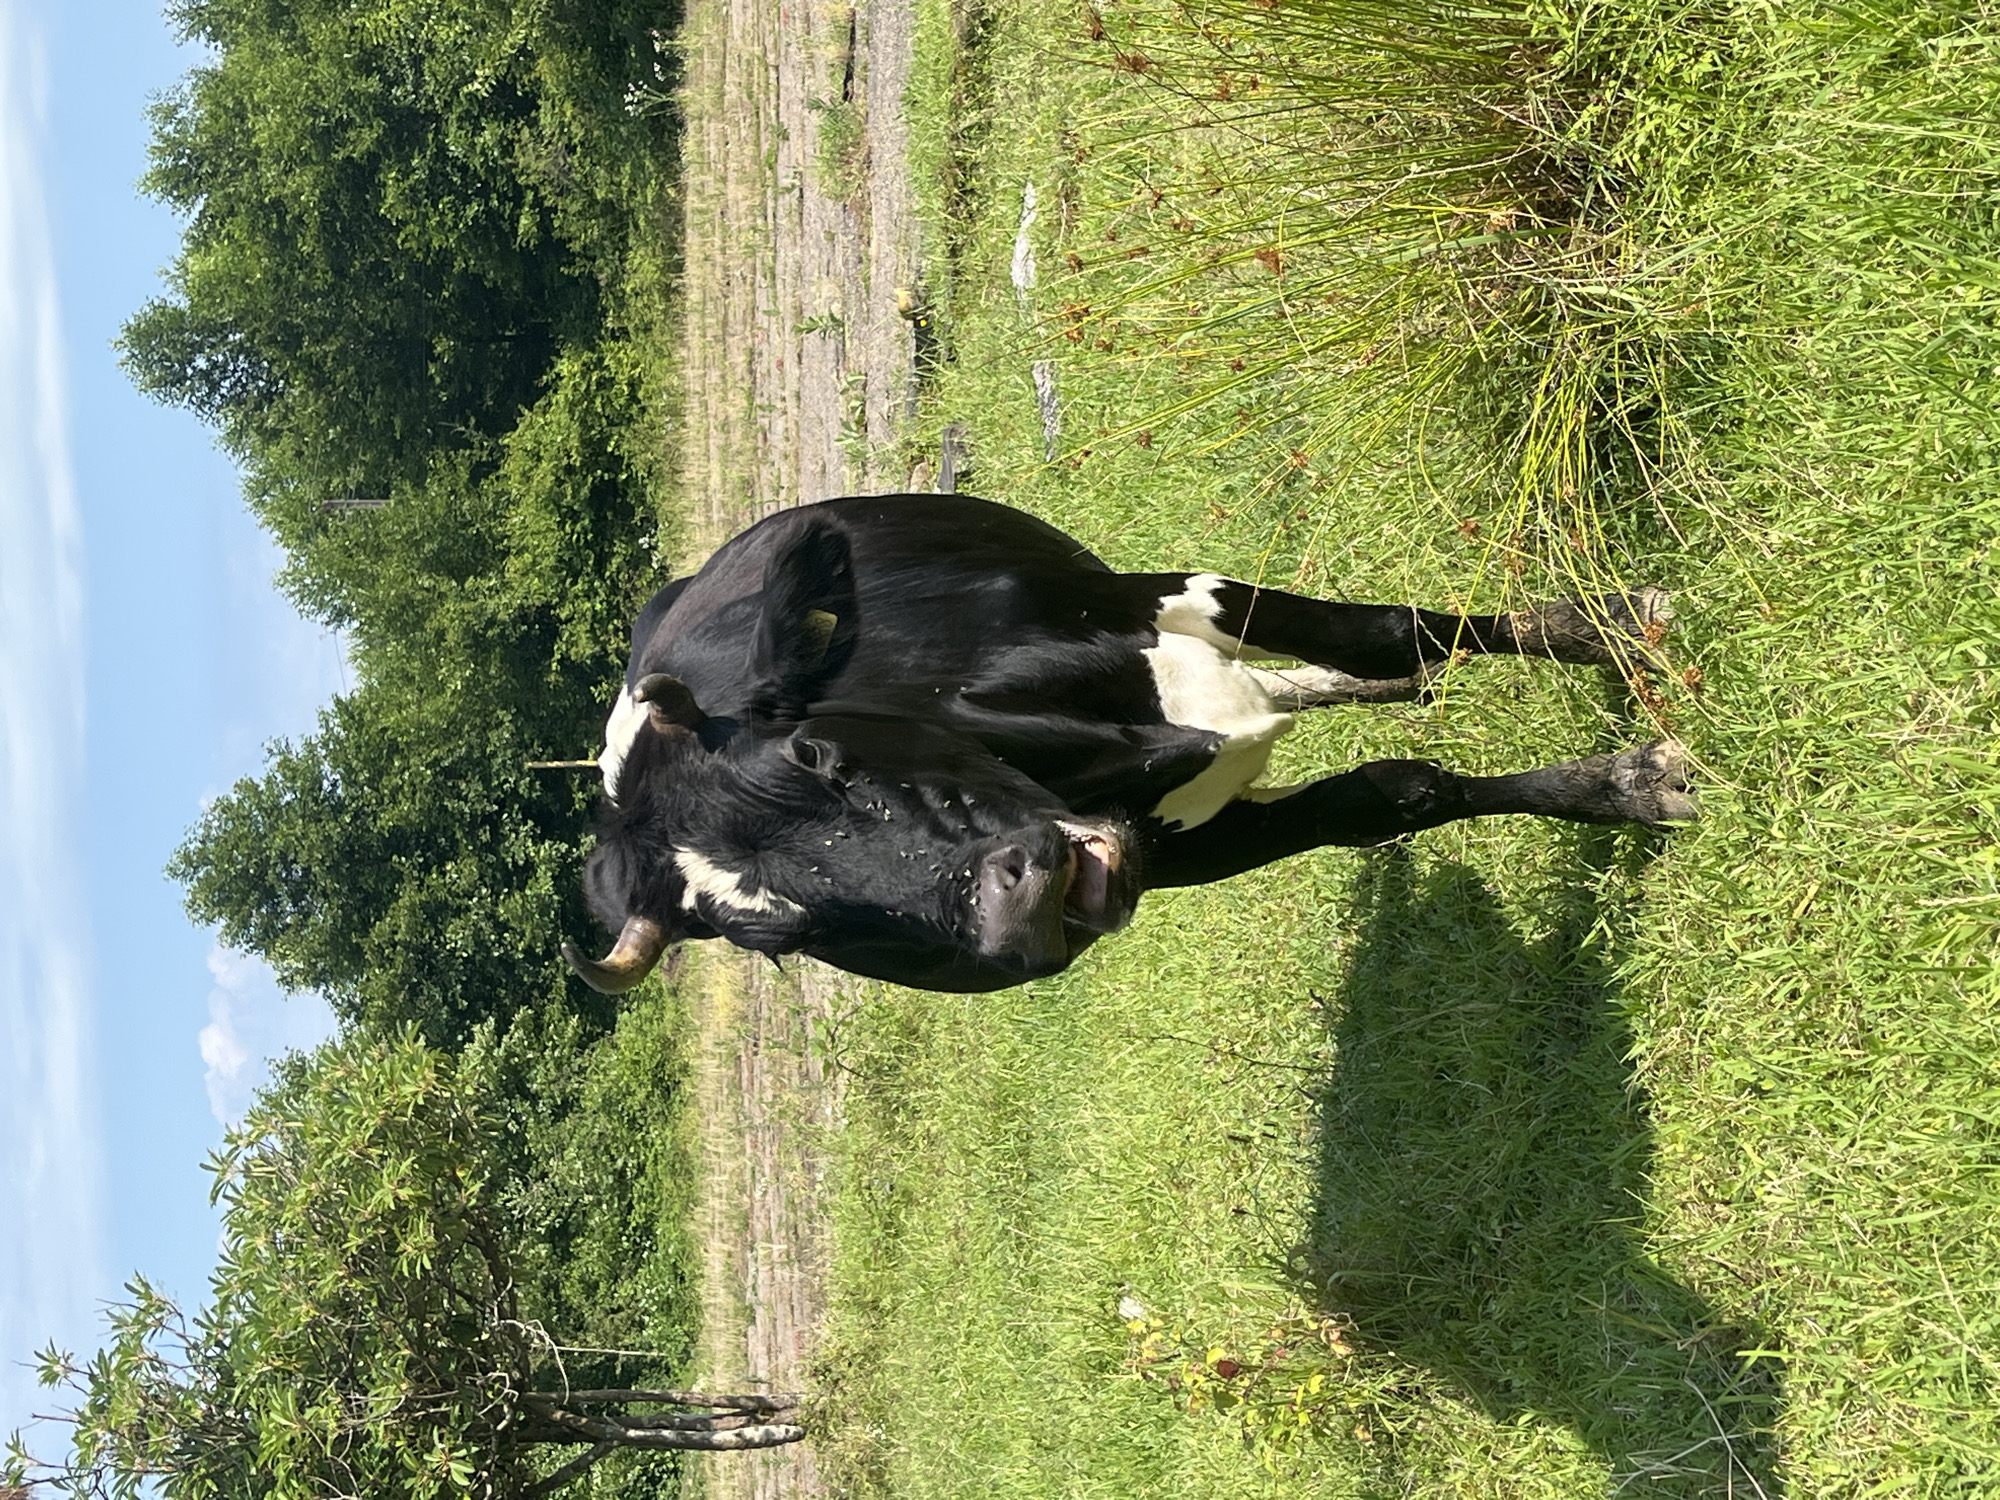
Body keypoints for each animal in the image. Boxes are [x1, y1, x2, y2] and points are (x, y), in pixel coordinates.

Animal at [562, 495, 1694, 995]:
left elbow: (1390, 630)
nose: (1005, 907)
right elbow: (1393, 794)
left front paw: (1601, 634)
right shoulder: (1200, 846)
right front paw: (1627, 783)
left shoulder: (1166, 597)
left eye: (816, 757)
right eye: (783, 938)